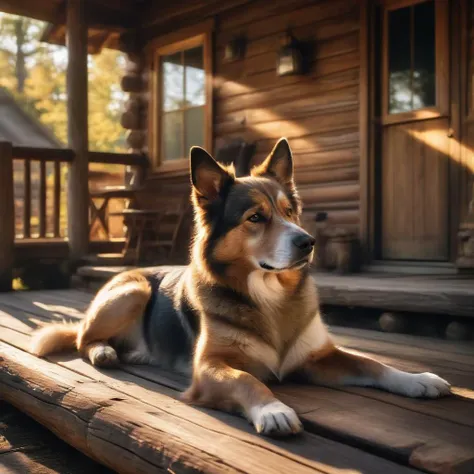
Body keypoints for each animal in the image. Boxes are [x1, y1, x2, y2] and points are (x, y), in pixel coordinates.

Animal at [30, 138, 452, 436]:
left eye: (289, 212)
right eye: (255, 218)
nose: (308, 242)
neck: (270, 296)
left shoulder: (319, 358)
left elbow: (373, 363)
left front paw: (417, 379)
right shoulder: (210, 368)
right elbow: (247, 380)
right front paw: (273, 409)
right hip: (132, 291)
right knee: (83, 338)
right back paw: (105, 350)